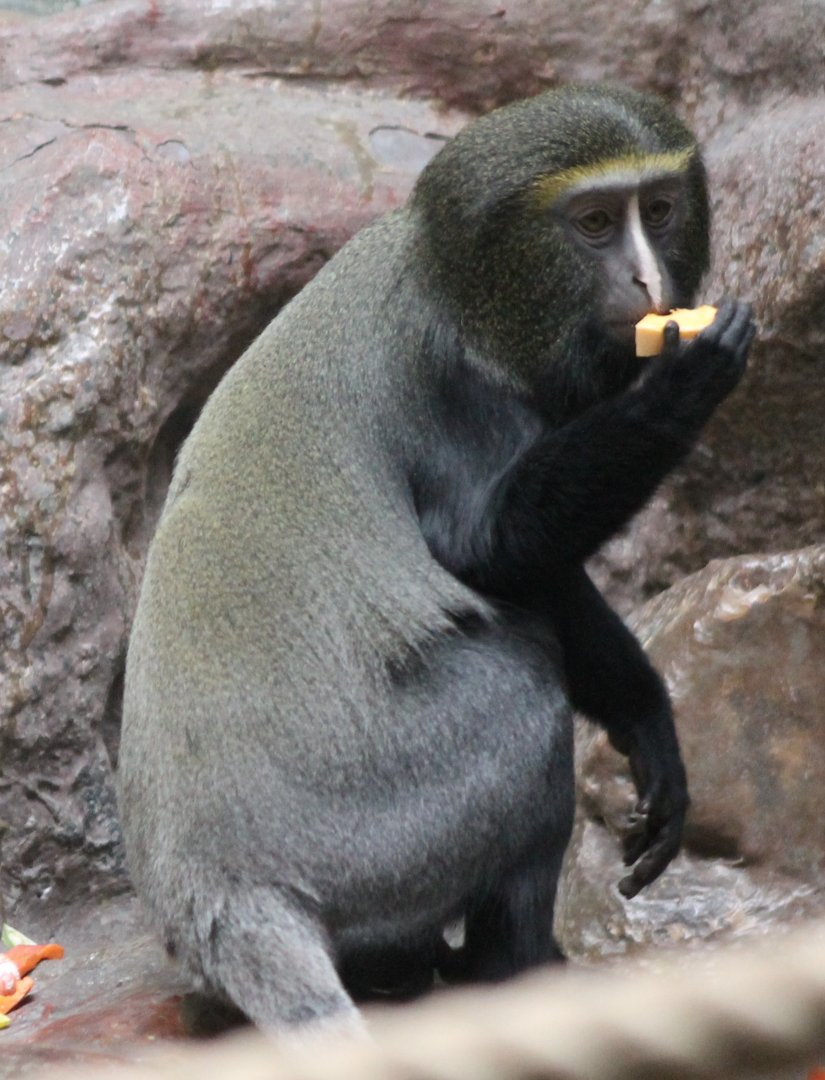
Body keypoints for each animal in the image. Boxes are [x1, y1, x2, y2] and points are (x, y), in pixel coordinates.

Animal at [117, 83, 755, 1034]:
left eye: (659, 210)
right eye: (594, 223)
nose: (649, 283)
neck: (452, 274)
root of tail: (215, 887)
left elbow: (540, 581)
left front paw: (647, 726)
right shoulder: (459, 383)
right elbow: (487, 549)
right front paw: (680, 385)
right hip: (381, 826)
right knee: (525, 695)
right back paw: (510, 966)